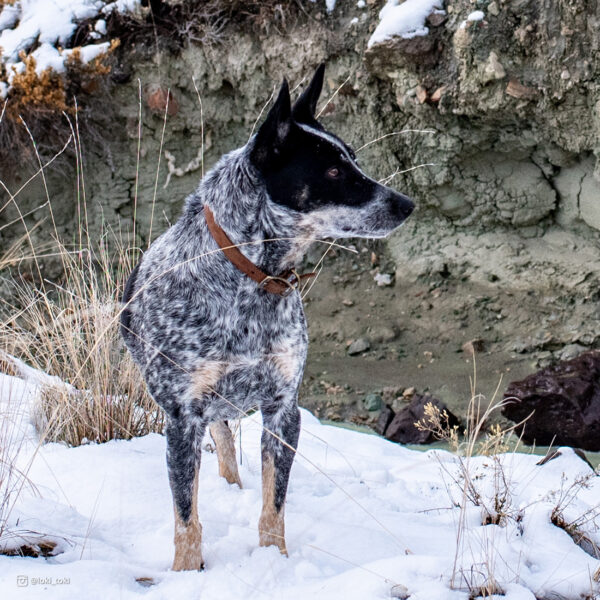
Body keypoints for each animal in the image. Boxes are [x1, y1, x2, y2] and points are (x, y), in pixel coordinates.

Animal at [119, 65, 414, 572]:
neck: (252, 278)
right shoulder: (182, 416)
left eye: (353, 160)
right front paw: (186, 572)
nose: (406, 204)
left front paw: (274, 560)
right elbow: (185, 514)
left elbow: (273, 503)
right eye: (332, 170)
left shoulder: (282, 409)